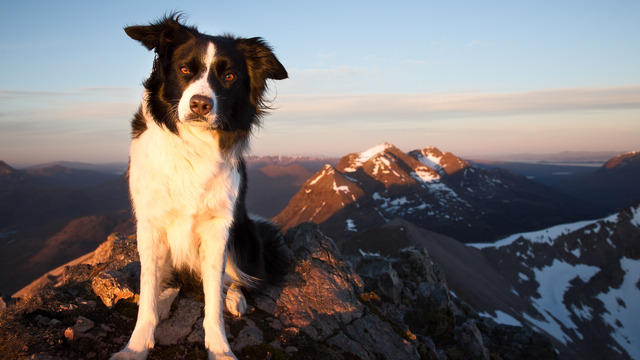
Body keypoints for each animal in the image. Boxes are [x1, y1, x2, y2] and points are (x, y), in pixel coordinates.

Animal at [112, 14, 288, 360]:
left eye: (230, 76)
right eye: (184, 70)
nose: (201, 104)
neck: (192, 145)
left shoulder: (218, 226)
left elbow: (213, 299)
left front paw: (219, 349)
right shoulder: (150, 223)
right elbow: (148, 288)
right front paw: (135, 347)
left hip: (243, 234)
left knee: (238, 279)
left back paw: (236, 297)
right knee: (172, 282)